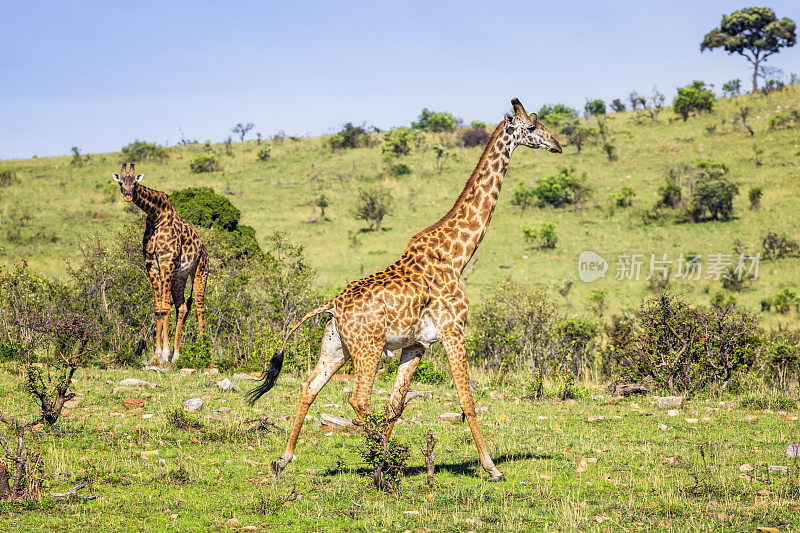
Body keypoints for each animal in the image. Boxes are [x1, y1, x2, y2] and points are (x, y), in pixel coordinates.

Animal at [111, 163, 209, 366]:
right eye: (120, 183)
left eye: (134, 183)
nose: (128, 196)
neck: (155, 215)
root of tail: (204, 247)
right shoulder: (151, 265)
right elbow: (158, 308)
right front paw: (158, 354)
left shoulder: (166, 262)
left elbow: (164, 308)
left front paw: (164, 353)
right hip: (180, 277)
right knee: (182, 307)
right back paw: (177, 355)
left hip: (201, 270)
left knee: (199, 307)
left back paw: (202, 351)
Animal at [250, 97, 564, 480]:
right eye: (531, 127)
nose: (557, 144)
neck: (457, 256)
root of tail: (332, 305)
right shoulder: (453, 330)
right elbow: (467, 400)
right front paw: (491, 467)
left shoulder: (417, 345)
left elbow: (396, 405)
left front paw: (386, 461)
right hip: (367, 349)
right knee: (358, 398)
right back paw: (371, 457)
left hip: (336, 346)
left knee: (310, 387)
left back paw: (285, 459)